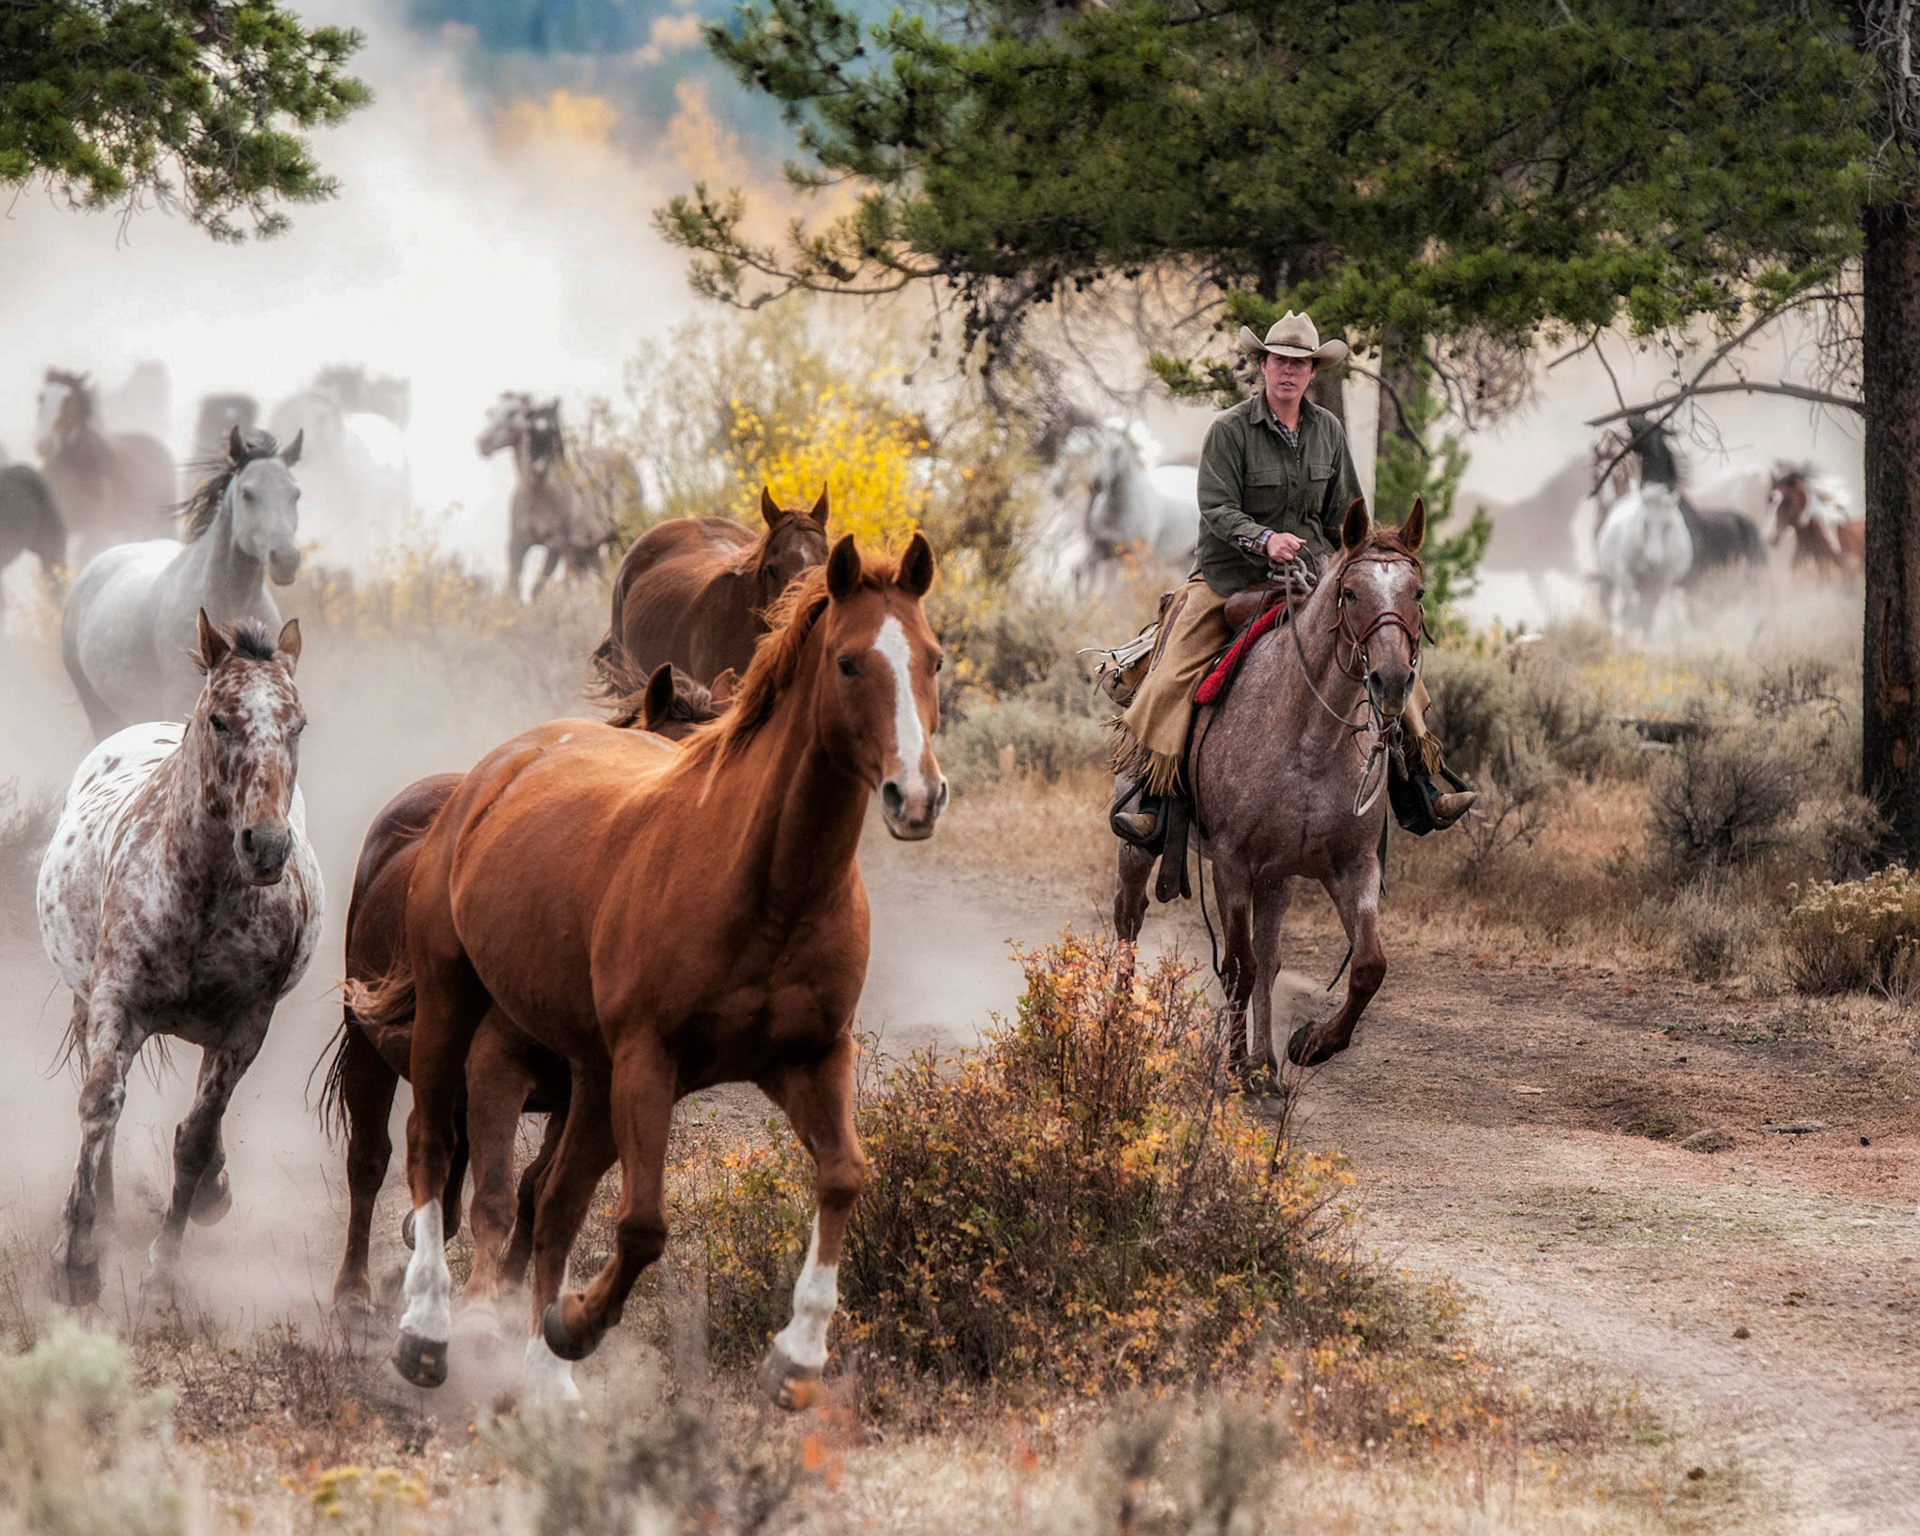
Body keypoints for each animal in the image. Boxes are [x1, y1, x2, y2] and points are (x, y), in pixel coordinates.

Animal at [35, 613, 321, 1305]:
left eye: (298, 724)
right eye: (220, 718)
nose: (266, 845)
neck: (202, 895)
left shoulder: (246, 1026)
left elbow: (193, 1140)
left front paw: (164, 1268)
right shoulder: (115, 1003)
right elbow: (99, 1104)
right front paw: (76, 1259)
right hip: (86, 1004)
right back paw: (109, 1216)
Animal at [318, 662, 730, 1314]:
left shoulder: (575, 1092)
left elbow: (538, 1194)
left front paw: (510, 1300)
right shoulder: (502, 1064)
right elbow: (499, 1189)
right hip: (368, 1044)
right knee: (370, 1159)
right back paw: (354, 1290)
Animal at [477, 394, 618, 601]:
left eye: (513, 413)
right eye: (489, 412)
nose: (483, 443)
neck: (538, 494)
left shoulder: (556, 546)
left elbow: (538, 588)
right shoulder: (517, 543)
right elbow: (514, 585)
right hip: (589, 549)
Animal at [1115, 499, 1426, 1079]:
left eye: (1417, 592)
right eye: (1351, 592)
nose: (1392, 682)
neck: (1311, 741)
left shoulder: (1353, 866)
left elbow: (1367, 966)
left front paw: (1311, 1043)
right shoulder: (1231, 863)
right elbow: (1239, 965)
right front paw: (1236, 1065)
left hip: (1276, 877)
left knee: (1272, 951)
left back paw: (1267, 1064)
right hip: (1137, 846)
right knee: (1129, 916)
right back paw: (1121, 1025)